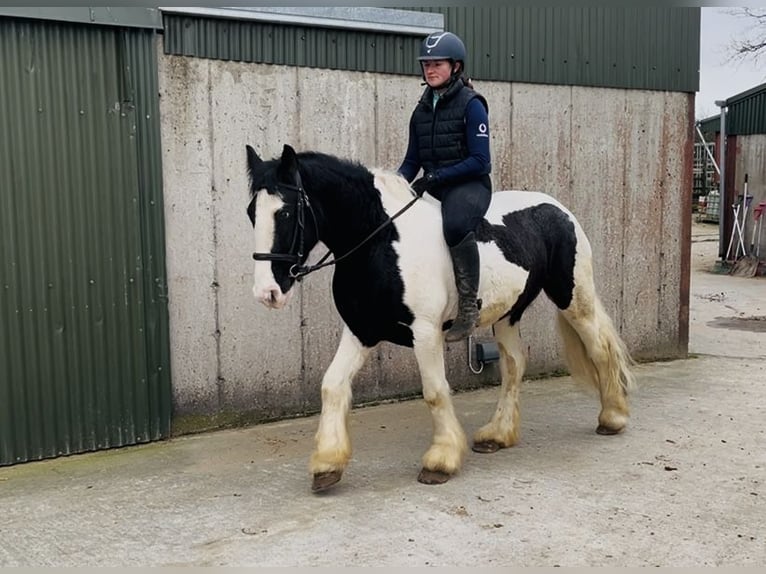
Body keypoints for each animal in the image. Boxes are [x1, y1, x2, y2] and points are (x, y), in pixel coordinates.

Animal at [245, 144, 635, 493]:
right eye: (252, 212)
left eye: (285, 213)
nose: (267, 293)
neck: (381, 242)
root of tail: (559, 209)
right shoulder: (360, 331)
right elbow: (332, 385)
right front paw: (327, 464)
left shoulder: (425, 332)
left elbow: (434, 391)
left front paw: (441, 461)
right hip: (508, 314)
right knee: (514, 364)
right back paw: (498, 434)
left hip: (573, 297)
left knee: (599, 348)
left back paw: (612, 417)